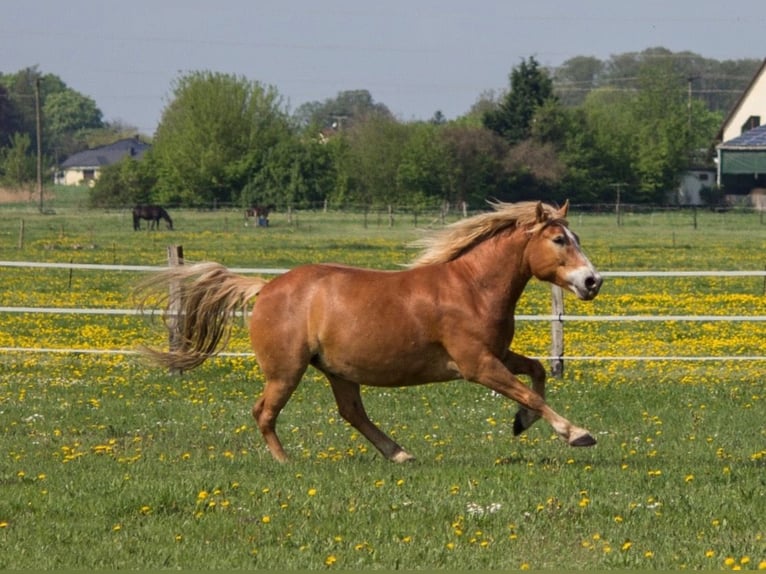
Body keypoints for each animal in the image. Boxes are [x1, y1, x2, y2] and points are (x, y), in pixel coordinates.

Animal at [137, 200, 602, 463]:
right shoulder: (477, 365)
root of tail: (265, 288)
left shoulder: (497, 355)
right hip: (286, 371)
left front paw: (521, 423)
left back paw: (400, 454)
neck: (472, 287)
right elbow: (528, 391)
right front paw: (577, 434)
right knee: (264, 412)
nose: (592, 281)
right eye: (559, 240)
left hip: (338, 371)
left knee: (352, 412)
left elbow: (537, 371)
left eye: (576, 236)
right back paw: (286, 463)